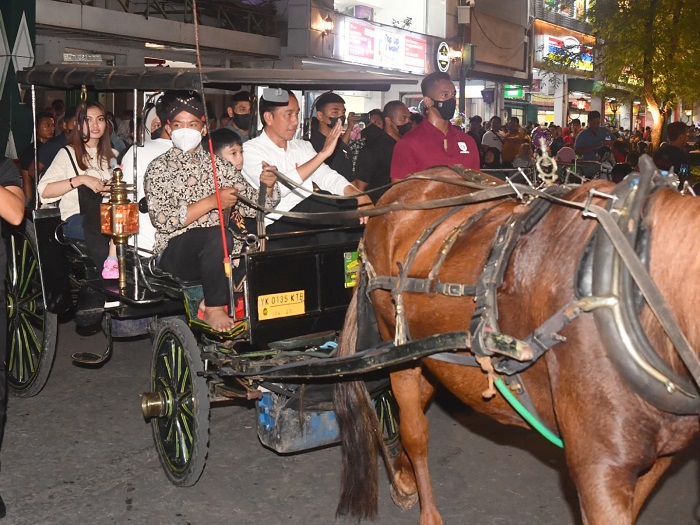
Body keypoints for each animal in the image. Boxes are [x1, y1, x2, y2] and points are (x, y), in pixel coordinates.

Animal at [332, 164, 700, 524]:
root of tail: (403, 186)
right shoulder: (599, 468)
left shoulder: (659, 460)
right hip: (397, 344)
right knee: (415, 430)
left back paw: (405, 478)